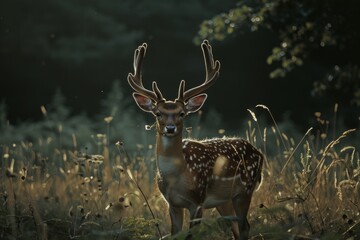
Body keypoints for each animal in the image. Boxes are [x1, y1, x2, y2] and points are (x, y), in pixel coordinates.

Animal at [128, 40, 262, 239]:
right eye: (158, 113)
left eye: (182, 113)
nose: (170, 128)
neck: (177, 177)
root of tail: (259, 153)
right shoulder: (172, 203)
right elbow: (175, 234)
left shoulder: (198, 201)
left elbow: (191, 235)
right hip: (224, 201)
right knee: (237, 228)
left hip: (245, 190)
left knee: (245, 225)